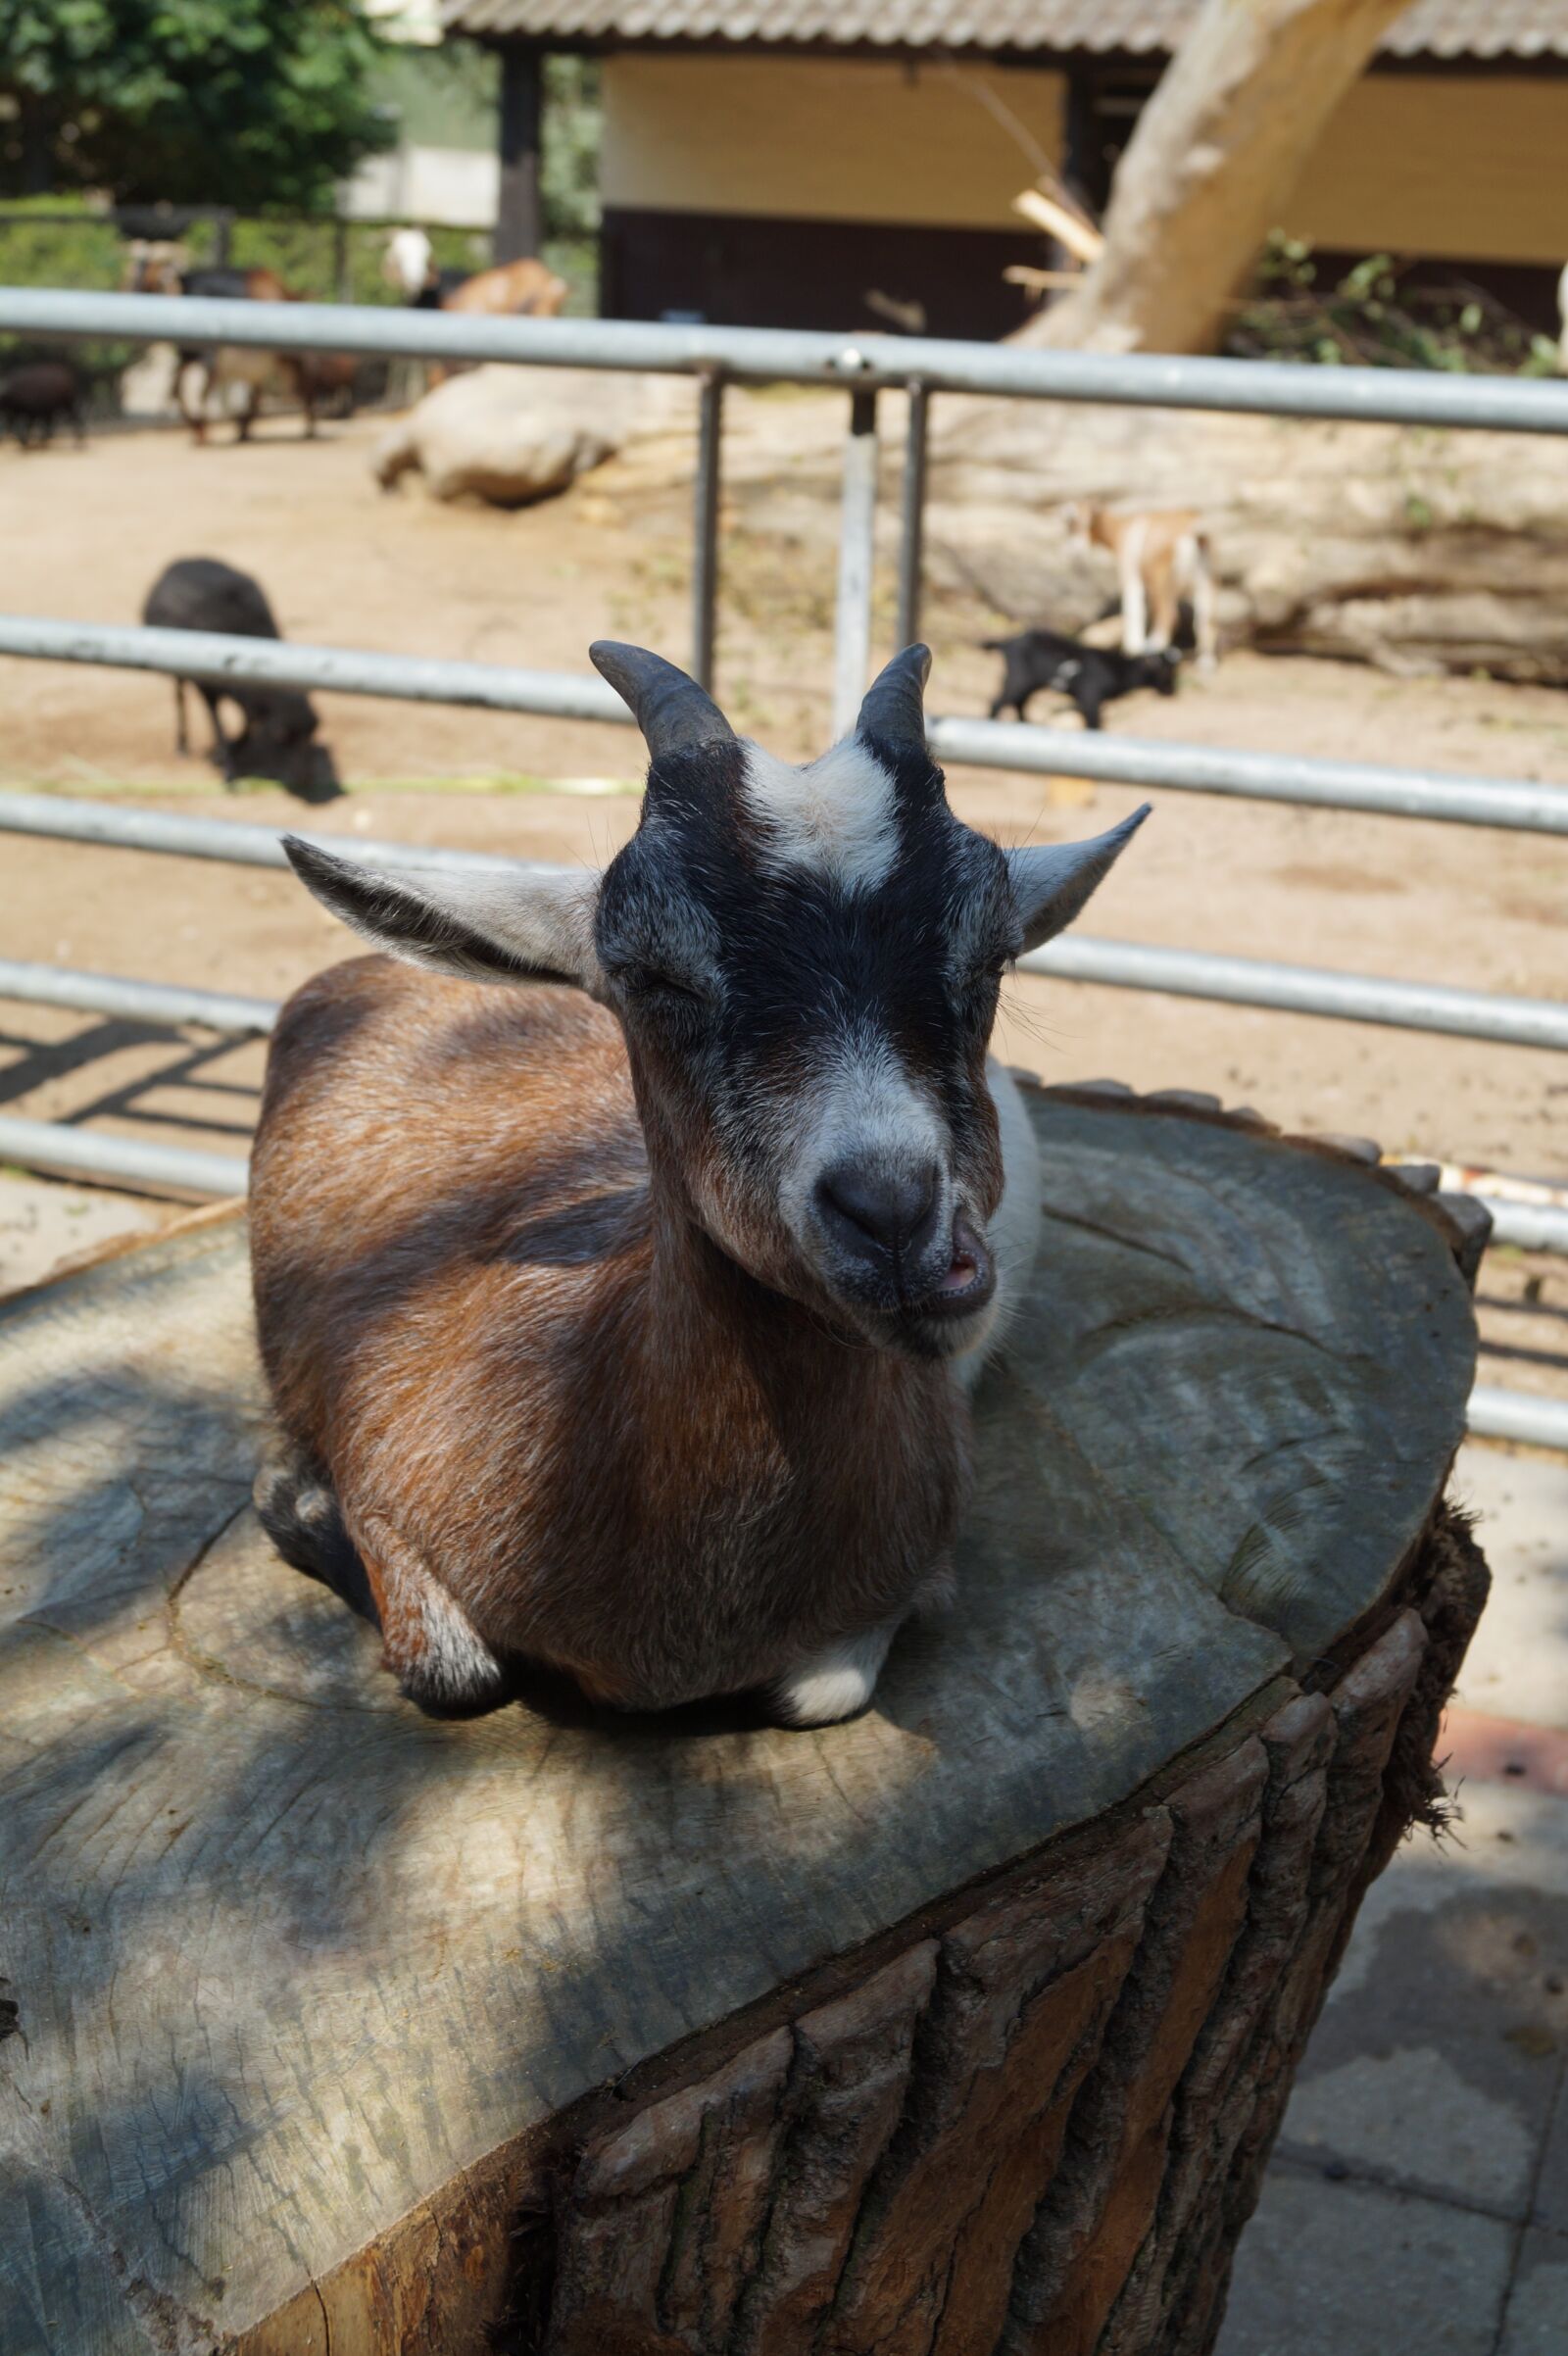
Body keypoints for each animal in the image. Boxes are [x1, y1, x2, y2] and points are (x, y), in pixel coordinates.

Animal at [141, 558, 338, 800]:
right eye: (280, 735)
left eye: (313, 731)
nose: (305, 780)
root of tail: (180, 560)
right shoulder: (209, 686)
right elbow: (219, 726)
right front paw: (229, 773)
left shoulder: (246, 696)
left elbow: (249, 723)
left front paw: (229, 751)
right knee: (179, 696)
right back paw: (182, 746)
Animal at [249, 643, 1147, 1727]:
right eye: (650, 973)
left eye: (993, 956)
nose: (896, 1221)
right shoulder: (382, 1467)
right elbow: (453, 1673)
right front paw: (294, 1499)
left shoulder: (917, 1563)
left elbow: (822, 1692)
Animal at [983, 628, 1179, 730]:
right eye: (1165, 672)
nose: (1172, 692)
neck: (1118, 668)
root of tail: (1006, 643)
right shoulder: (1090, 698)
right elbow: (1094, 725)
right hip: (1018, 680)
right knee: (998, 701)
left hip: (1029, 684)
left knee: (1020, 702)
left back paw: (1027, 724)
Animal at [1064, 501, 1217, 673]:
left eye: (1074, 524)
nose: (1071, 550)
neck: (1120, 528)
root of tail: (1193, 531)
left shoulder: (1130, 575)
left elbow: (1133, 610)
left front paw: (1132, 649)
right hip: (1206, 578)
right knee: (1206, 621)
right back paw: (1206, 663)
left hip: (1162, 581)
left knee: (1169, 616)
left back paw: (1155, 648)